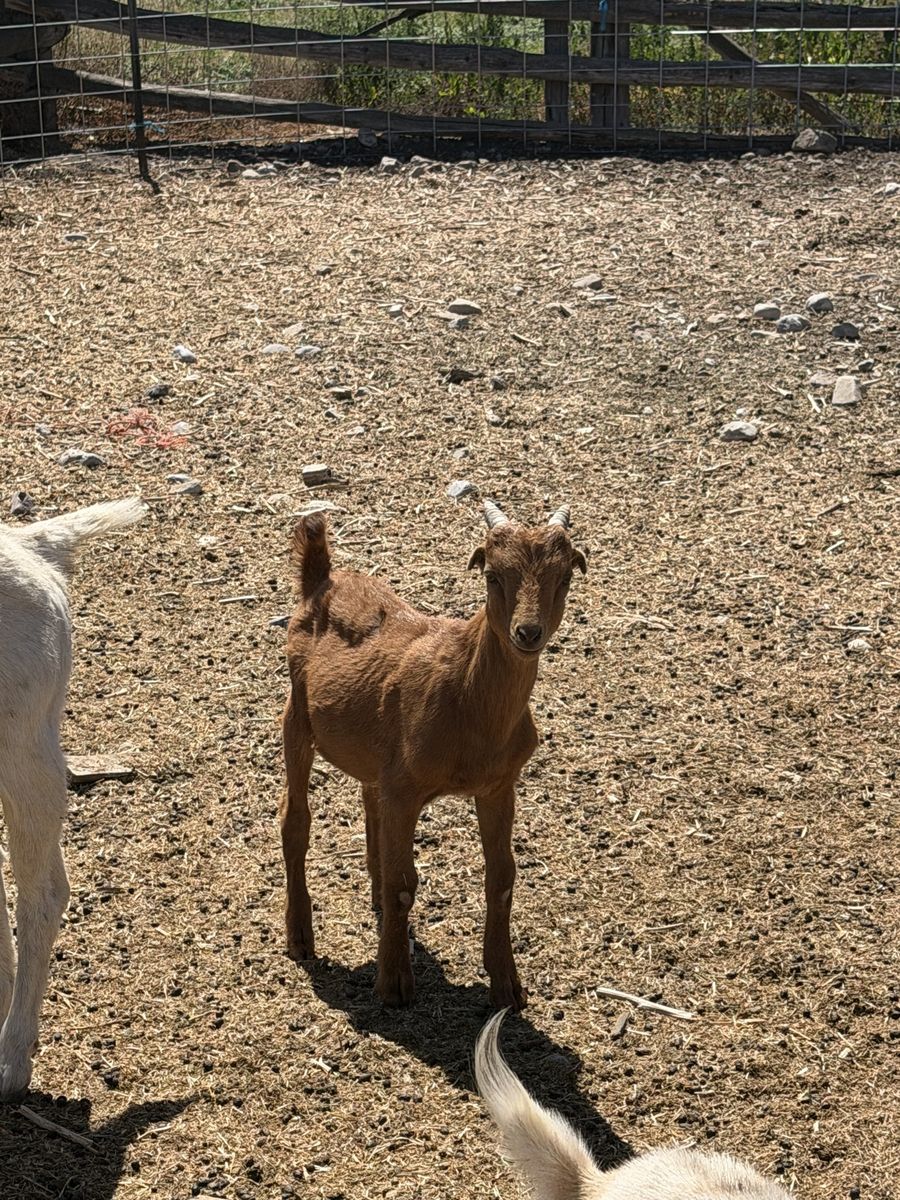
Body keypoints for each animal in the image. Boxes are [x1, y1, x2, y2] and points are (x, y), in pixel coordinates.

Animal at [282, 499, 586, 1009]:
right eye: (492, 575)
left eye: (564, 577)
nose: (528, 632)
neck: (465, 692)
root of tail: (321, 577)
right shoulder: (406, 787)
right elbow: (405, 884)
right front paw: (393, 984)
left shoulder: (499, 784)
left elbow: (502, 878)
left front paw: (508, 986)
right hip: (296, 714)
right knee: (295, 820)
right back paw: (301, 938)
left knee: (369, 800)